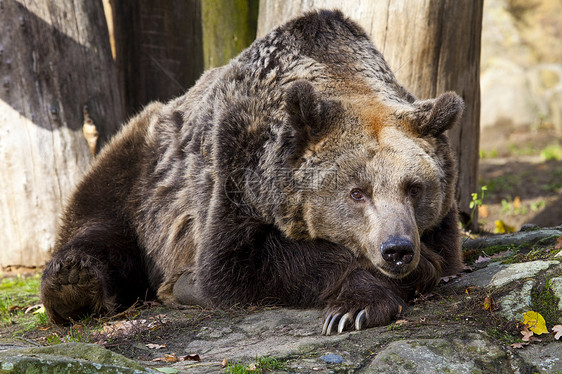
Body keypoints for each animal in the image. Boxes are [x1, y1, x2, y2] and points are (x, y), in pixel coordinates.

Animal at [39, 9, 462, 336]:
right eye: (358, 192)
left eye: (414, 188)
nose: (397, 250)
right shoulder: (233, 169)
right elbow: (239, 264)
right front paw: (356, 305)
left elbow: (441, 252)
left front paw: (365, 301)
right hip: (140, 169)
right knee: (99, 219)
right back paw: (74, 281)